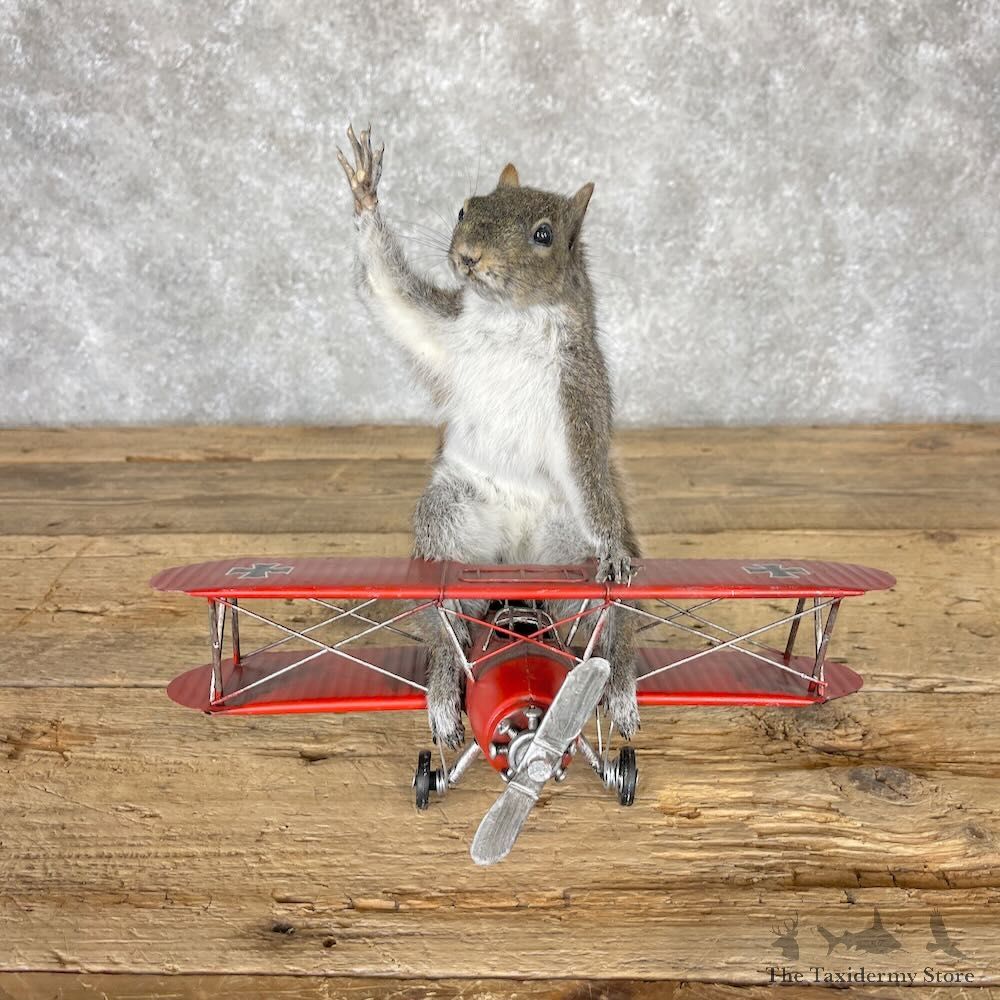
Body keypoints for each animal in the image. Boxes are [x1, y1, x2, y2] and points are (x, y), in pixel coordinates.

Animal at [337, 123, 641, 749]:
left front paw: (614, 554)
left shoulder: (579, 391)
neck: (511, 318)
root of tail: (515, 555)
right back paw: (443, 691)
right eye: (463, 208)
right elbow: (388, 291)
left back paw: (620, 686)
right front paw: (365, 191)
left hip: (566, 546)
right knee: (448, 621)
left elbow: (587, 462)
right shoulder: (444, 329)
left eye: (544, 235)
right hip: (453, 521)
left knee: (608, 623)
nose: (468, 257)